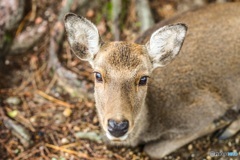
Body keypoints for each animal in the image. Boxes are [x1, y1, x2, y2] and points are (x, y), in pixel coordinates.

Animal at [63, 3, 240, 158]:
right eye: (97, 75)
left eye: (143, 78)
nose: (118, 126)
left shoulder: (204, 110)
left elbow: (153, 150)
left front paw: (219, 124)